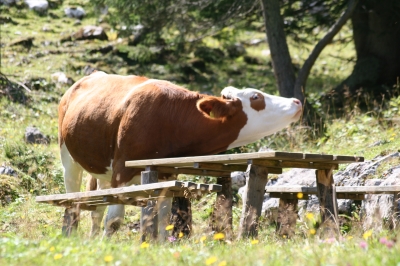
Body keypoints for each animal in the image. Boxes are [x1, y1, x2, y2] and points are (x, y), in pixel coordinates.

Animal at [58, 70, 304, 237]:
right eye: (255, 97)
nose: (297, 101)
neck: (170, 117)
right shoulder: (122, 170)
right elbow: (115, 220)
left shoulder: (166, 174)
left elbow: (163, 218)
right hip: (68, 158)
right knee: (73, 204)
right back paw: (70, 236)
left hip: (102, 170)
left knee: (97, 207)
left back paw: (91, 238)